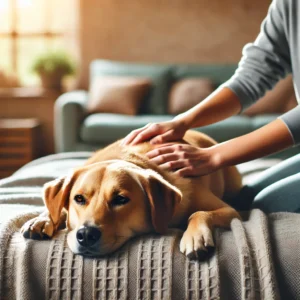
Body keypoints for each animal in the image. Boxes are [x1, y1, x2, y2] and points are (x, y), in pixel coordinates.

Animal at [20, 131, 241, 260]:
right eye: (79, 199)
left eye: (121, 199)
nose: (86, 235)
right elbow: (57, 209)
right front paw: (42, 219)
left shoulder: (230, 211)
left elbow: (199, 213)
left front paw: (196, 236)